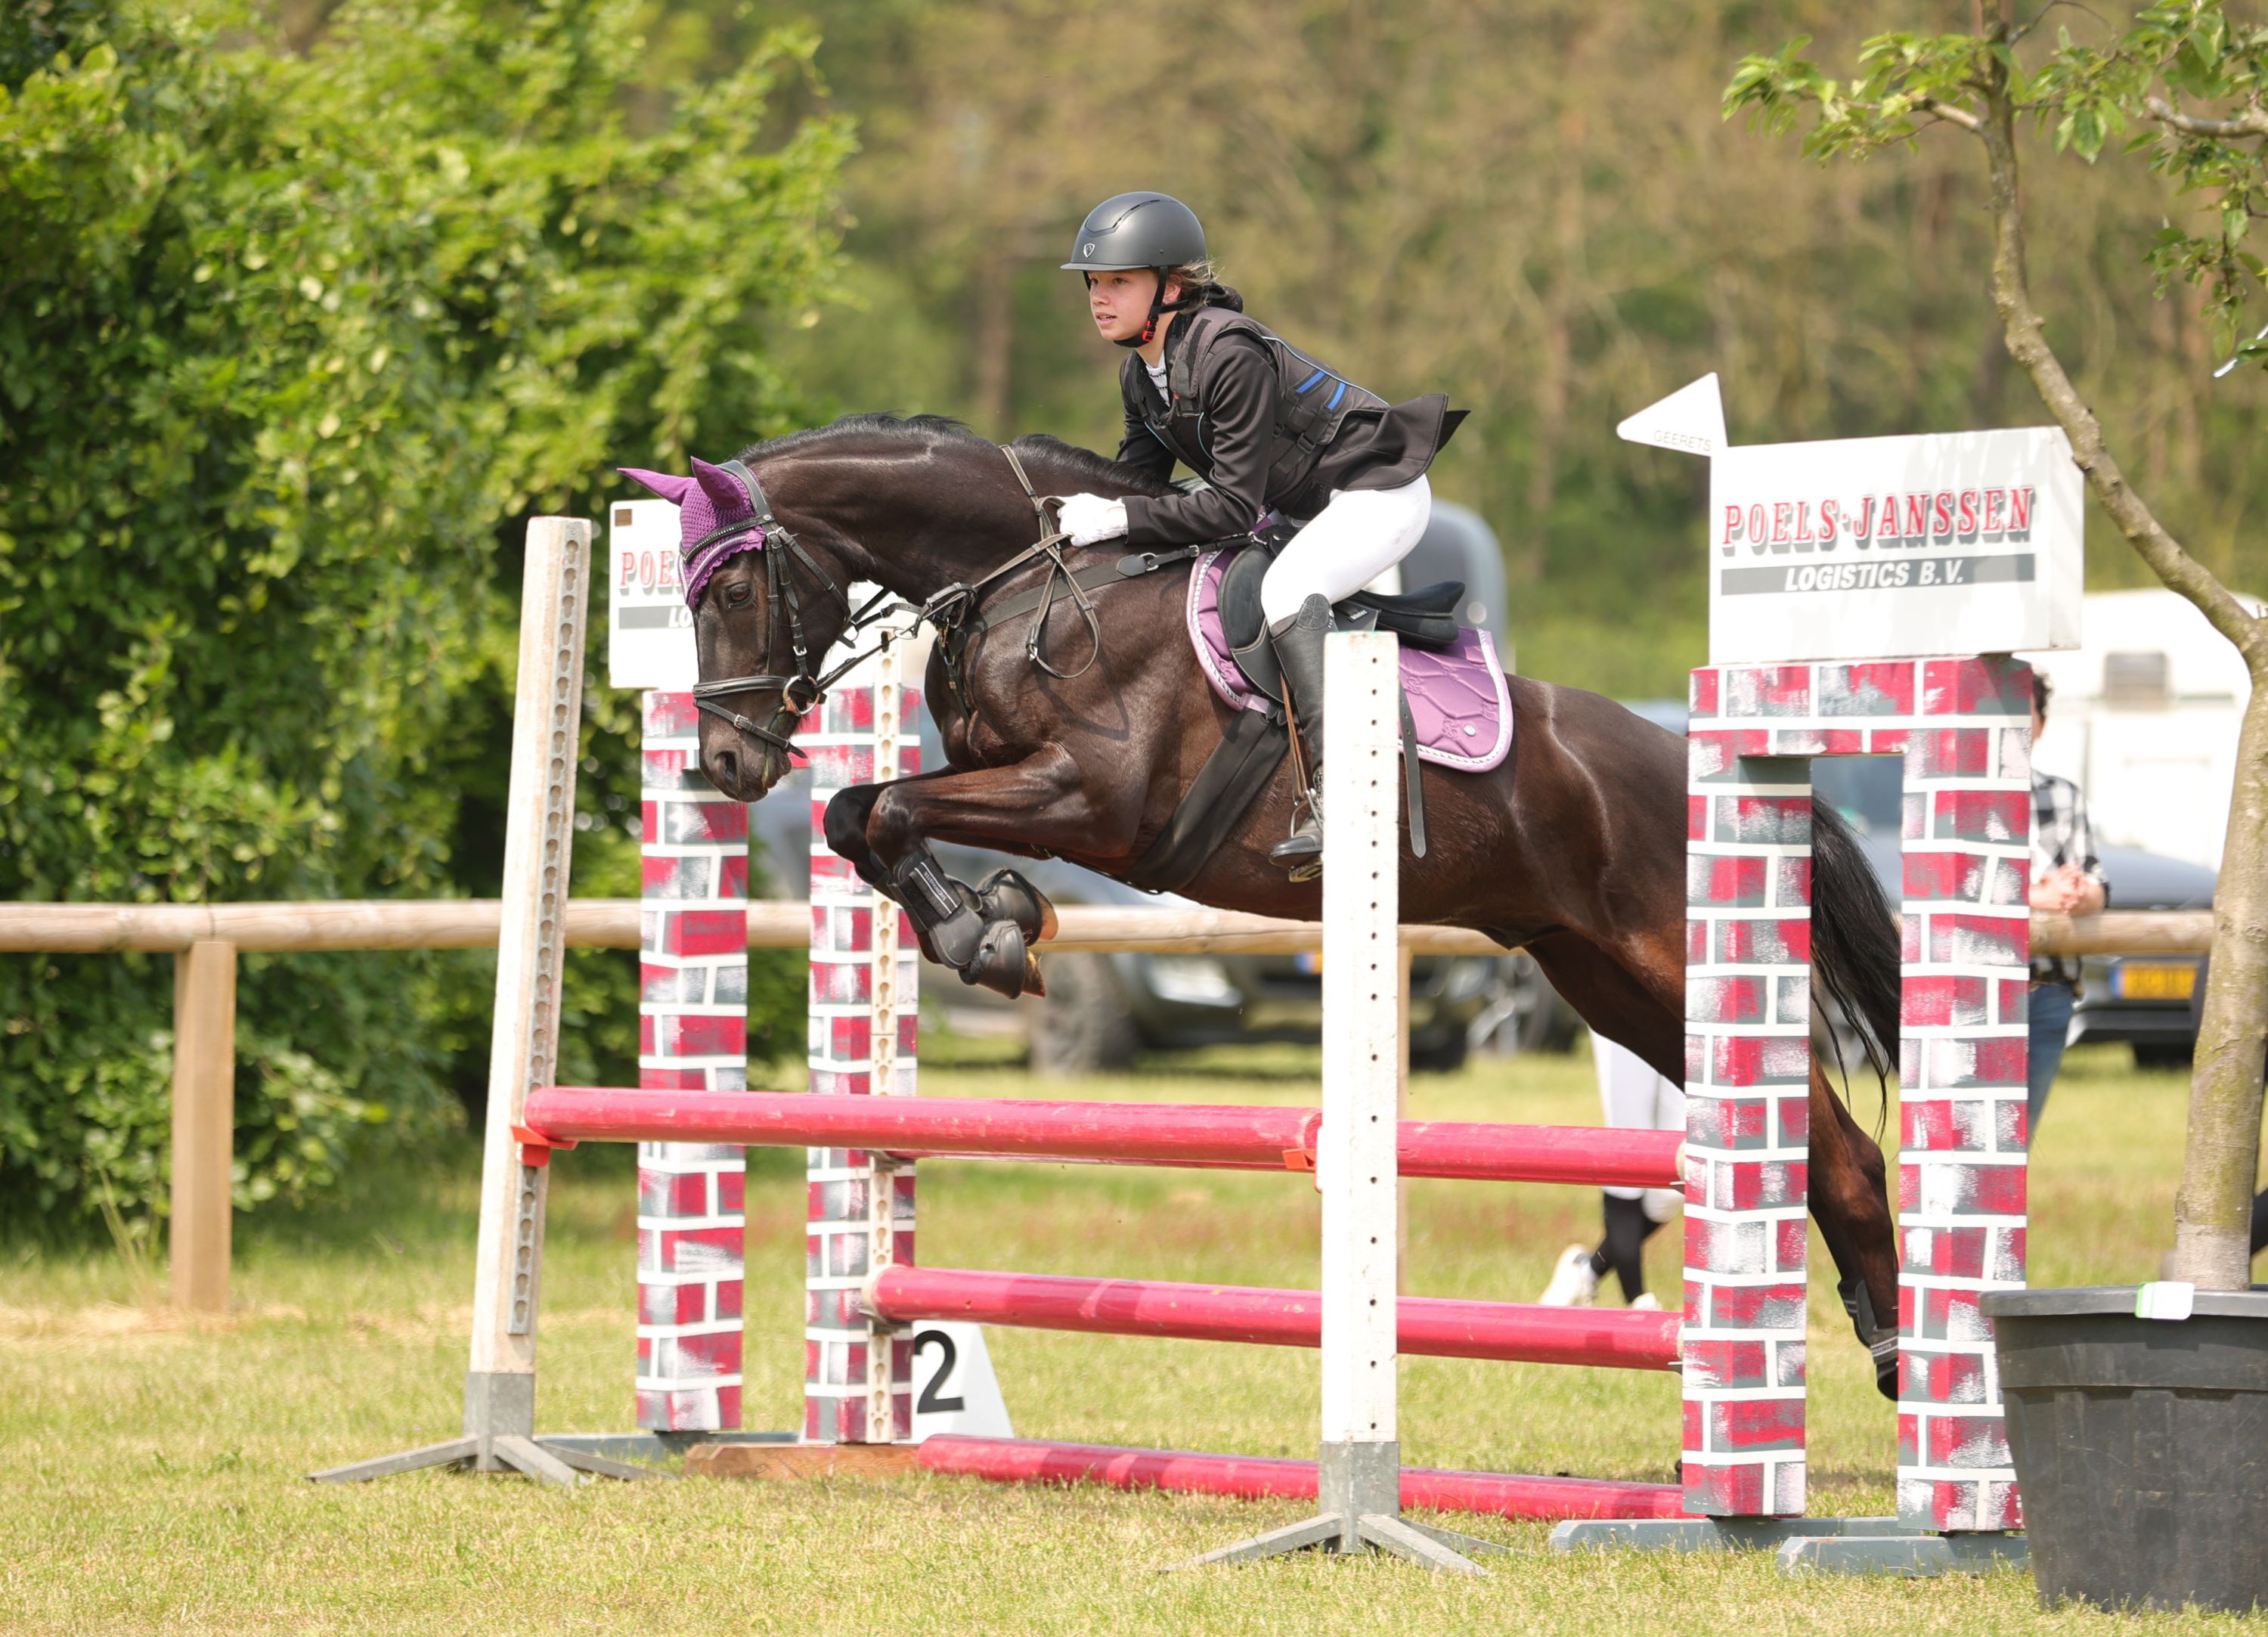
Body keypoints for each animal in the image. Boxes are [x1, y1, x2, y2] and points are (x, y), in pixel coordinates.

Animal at [682, 412, 1905, 1395]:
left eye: (734, 591)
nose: (728, 761)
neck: (1030, 581)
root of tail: (1688, 755)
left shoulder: (1091, 801)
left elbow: (883, 809)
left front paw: (987, 932)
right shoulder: (1016, 785)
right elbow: (859, 815)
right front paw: (996, 920)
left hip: (1670, 956)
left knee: (1842, 1149)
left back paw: (1899, 1367)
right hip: (1602, 978)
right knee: (1809, 1145)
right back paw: (1877, 1343)